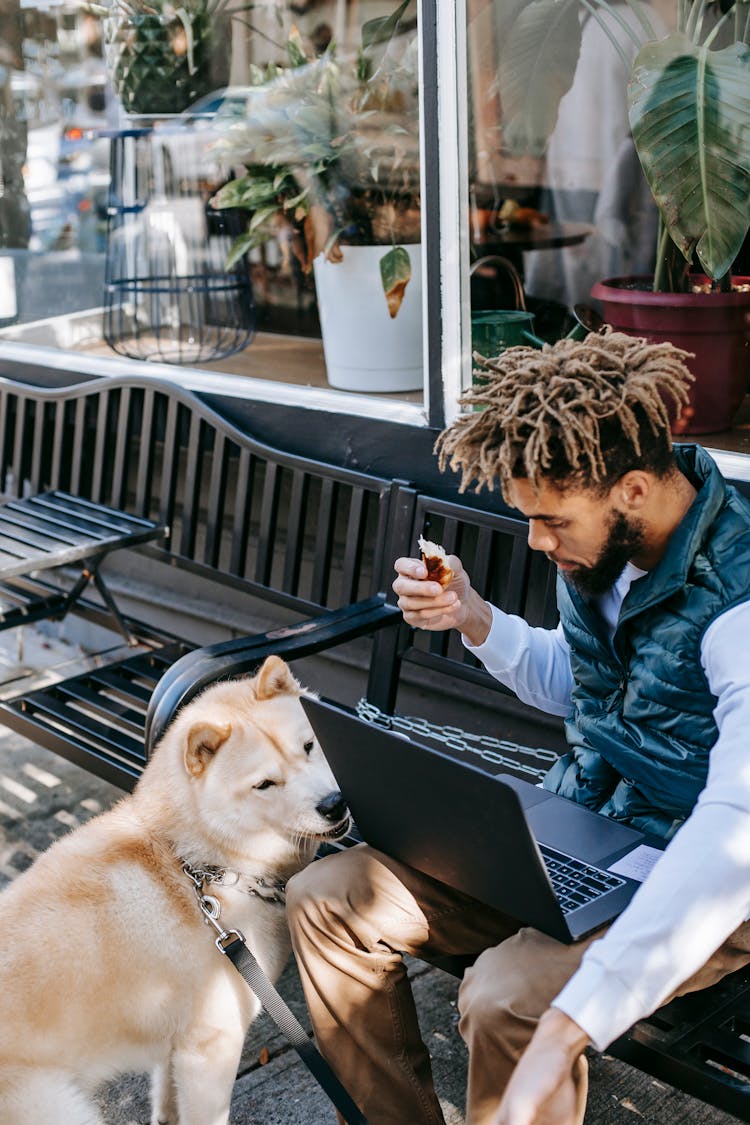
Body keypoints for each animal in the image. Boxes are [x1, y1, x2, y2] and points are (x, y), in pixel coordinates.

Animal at [0, 657, 348, 1120]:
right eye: (264, 784)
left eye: (309, 746)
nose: (334, 804)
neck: (202, 867)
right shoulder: (210, 1049)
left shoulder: (175, 1049)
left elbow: (166, 1102)